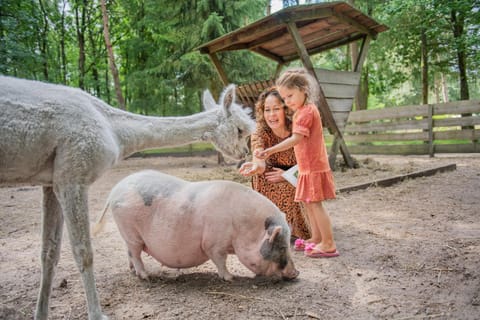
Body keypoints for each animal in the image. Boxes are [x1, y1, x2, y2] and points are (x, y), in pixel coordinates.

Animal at [92, 170, 298, 280]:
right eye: (281, 247)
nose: (296, 273)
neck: (243, 228)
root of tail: (114, 191)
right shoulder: (213, 243)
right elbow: (220, 260)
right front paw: (230, 278)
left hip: (127, 235)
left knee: (128, 252)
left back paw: (133, 272)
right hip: (130, 230)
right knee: (135, 254)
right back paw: (145, 277)